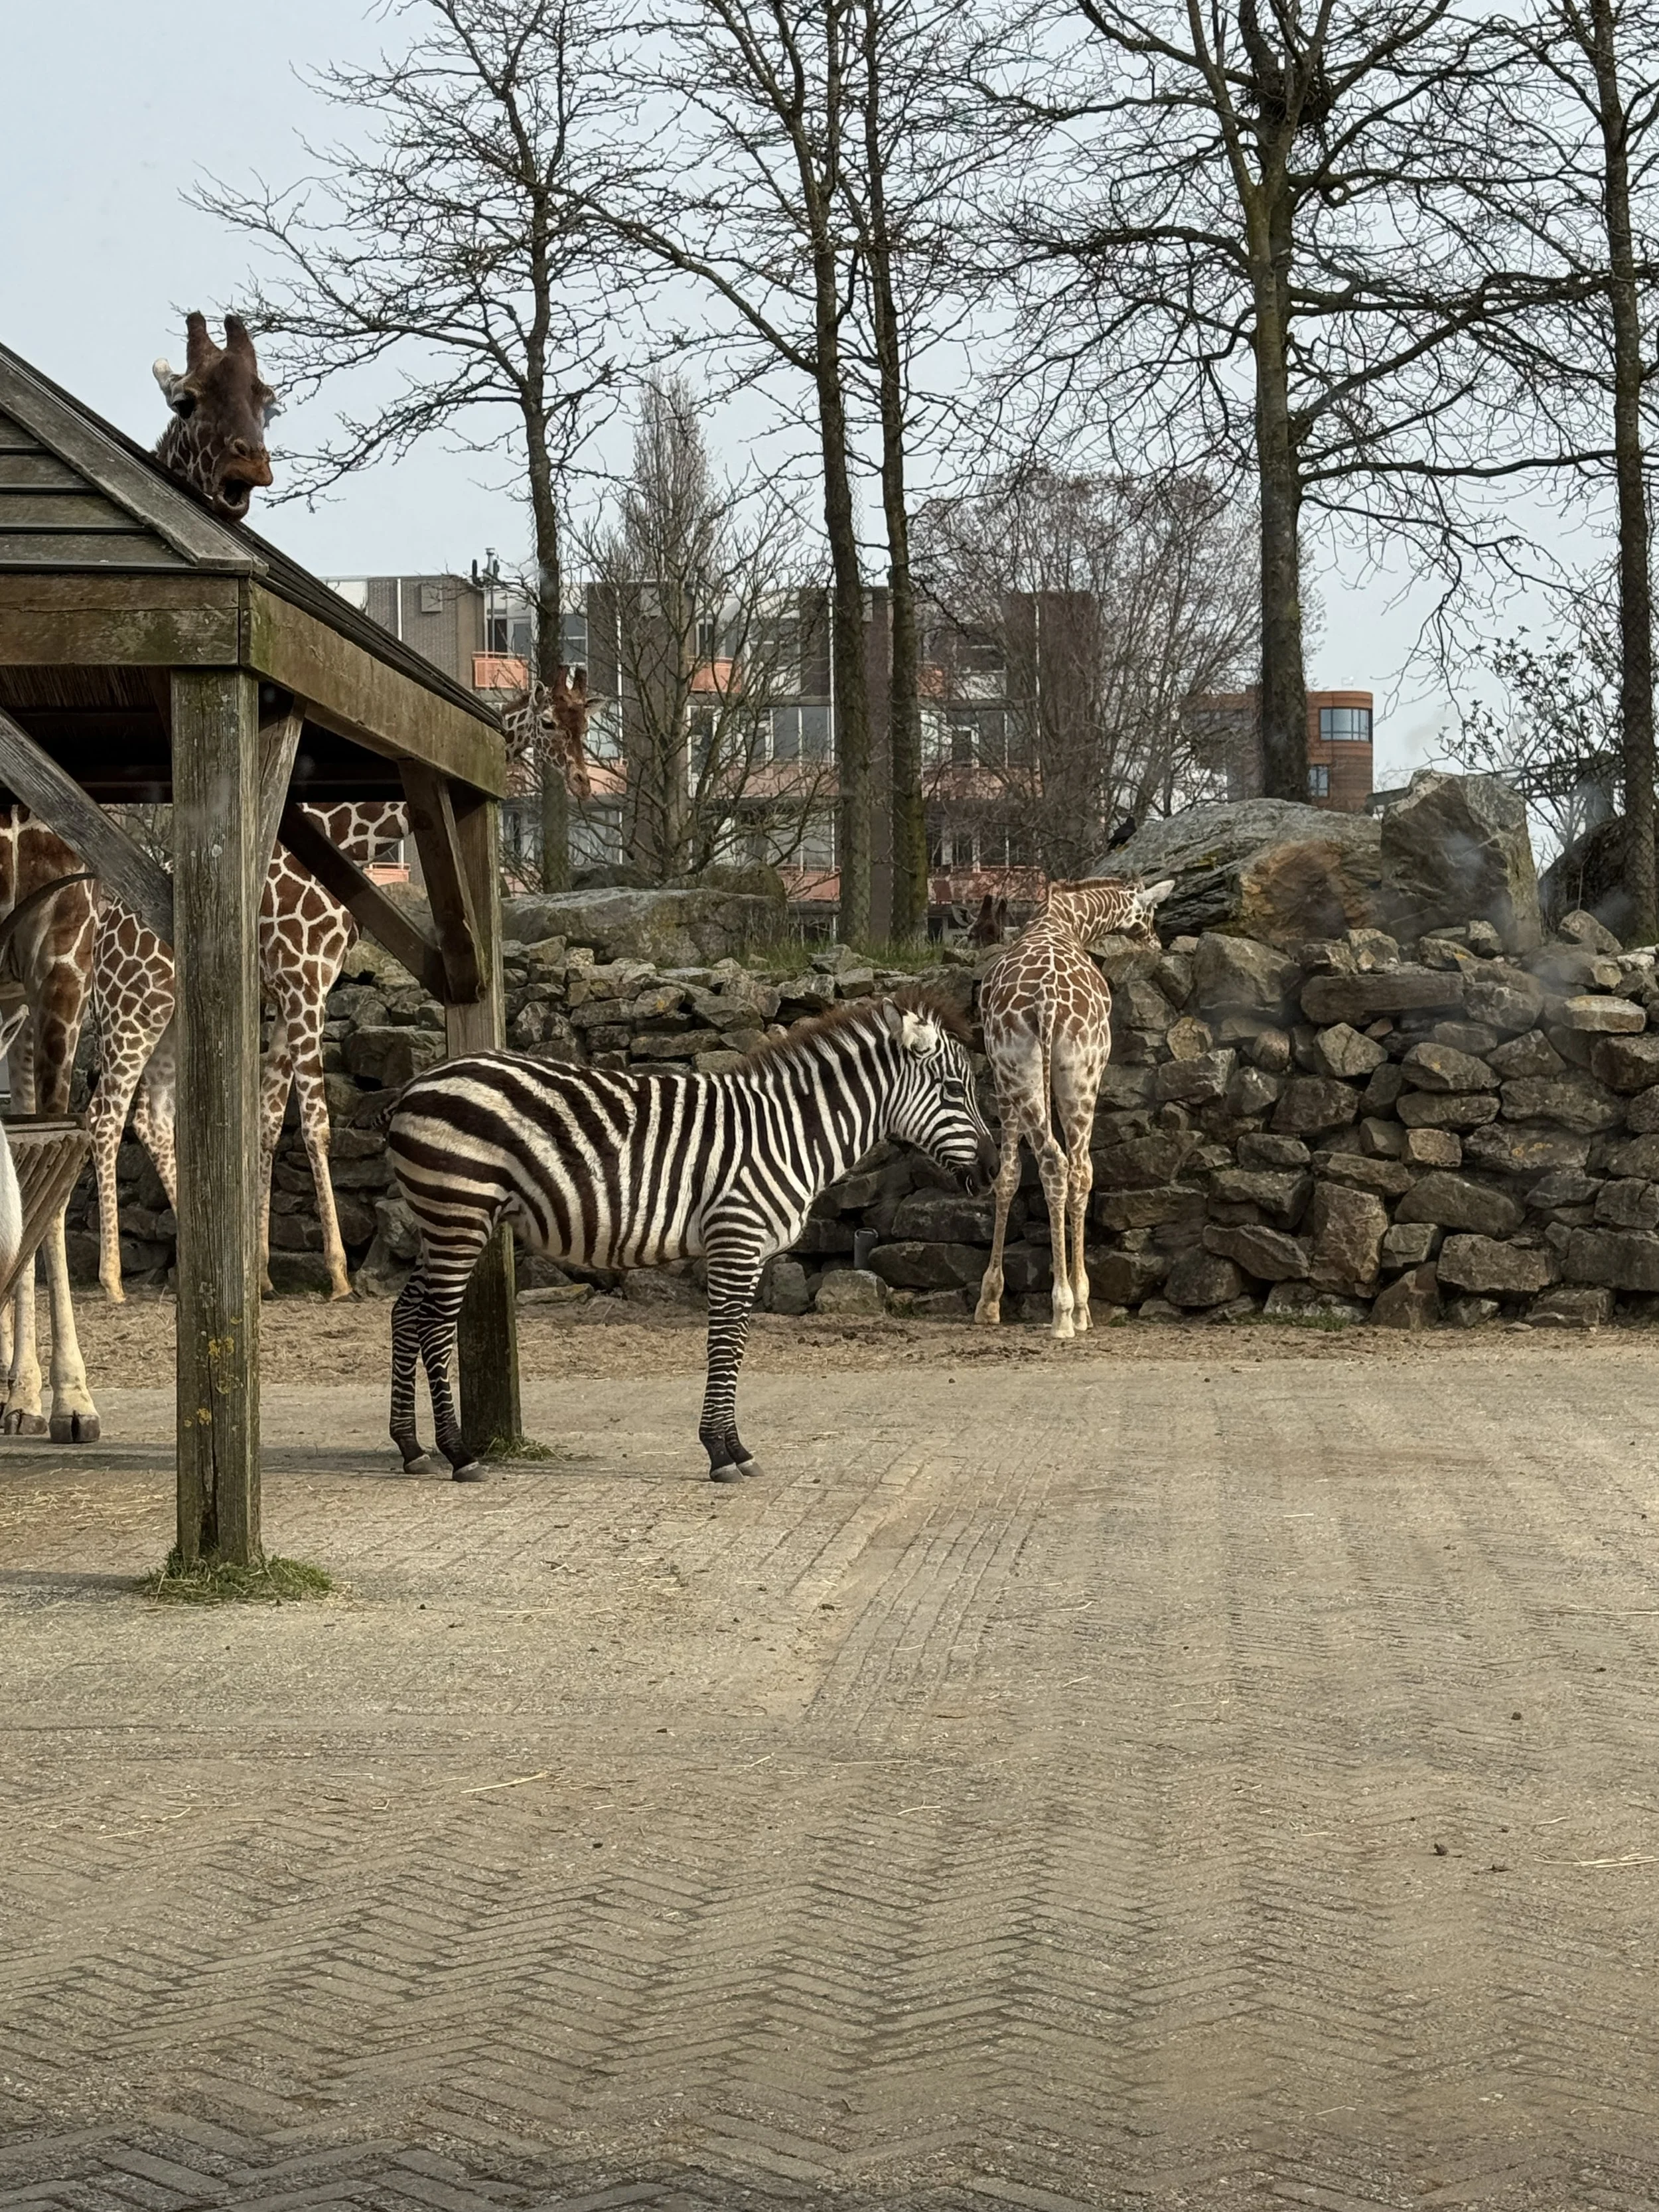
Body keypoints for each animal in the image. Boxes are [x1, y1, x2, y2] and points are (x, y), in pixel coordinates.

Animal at [385, 990, 1000, 1482]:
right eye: (954, 1088)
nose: (995, 1169)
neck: (790, 1132)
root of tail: (415, 1084)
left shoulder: (748, 1251)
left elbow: (737, 1341)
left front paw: (733, 1447)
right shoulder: (737, 1239)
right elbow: (724, 1342)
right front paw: (721, 1453)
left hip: (439, 1218)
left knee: (406, 1311)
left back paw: (412, 1448)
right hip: (460, 1209)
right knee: (435, 1322)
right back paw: (459, 1453)